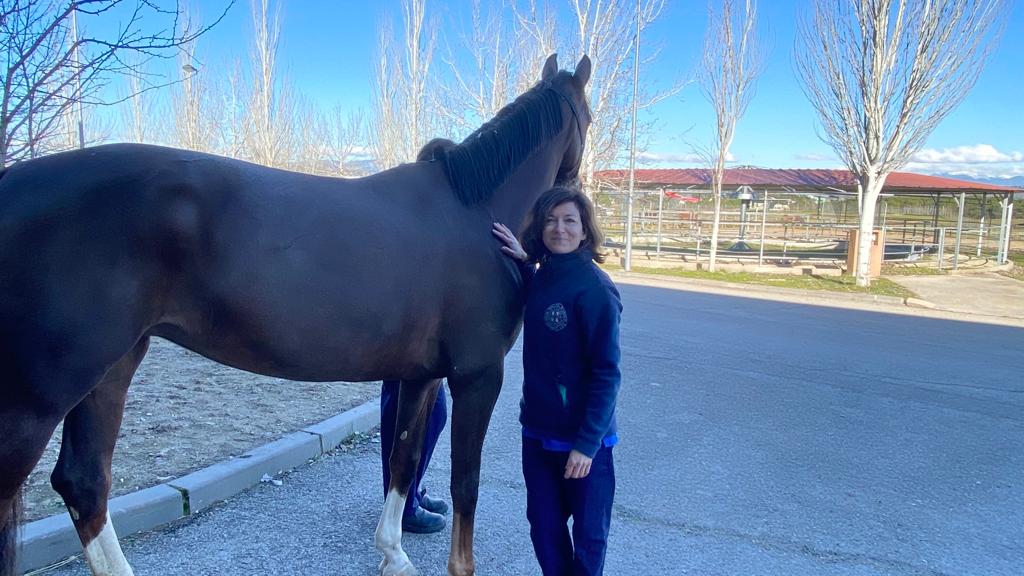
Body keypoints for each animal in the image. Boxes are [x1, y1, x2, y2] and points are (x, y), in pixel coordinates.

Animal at [0, 53, 591, 576]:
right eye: (588, 117)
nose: (573, 196)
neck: (475, 212)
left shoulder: (420, 377)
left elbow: (402, 460)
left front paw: (394, 554)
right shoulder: (478, 376)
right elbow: (465, 481)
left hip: (111, 367)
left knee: (84, 482)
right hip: (40, 395)